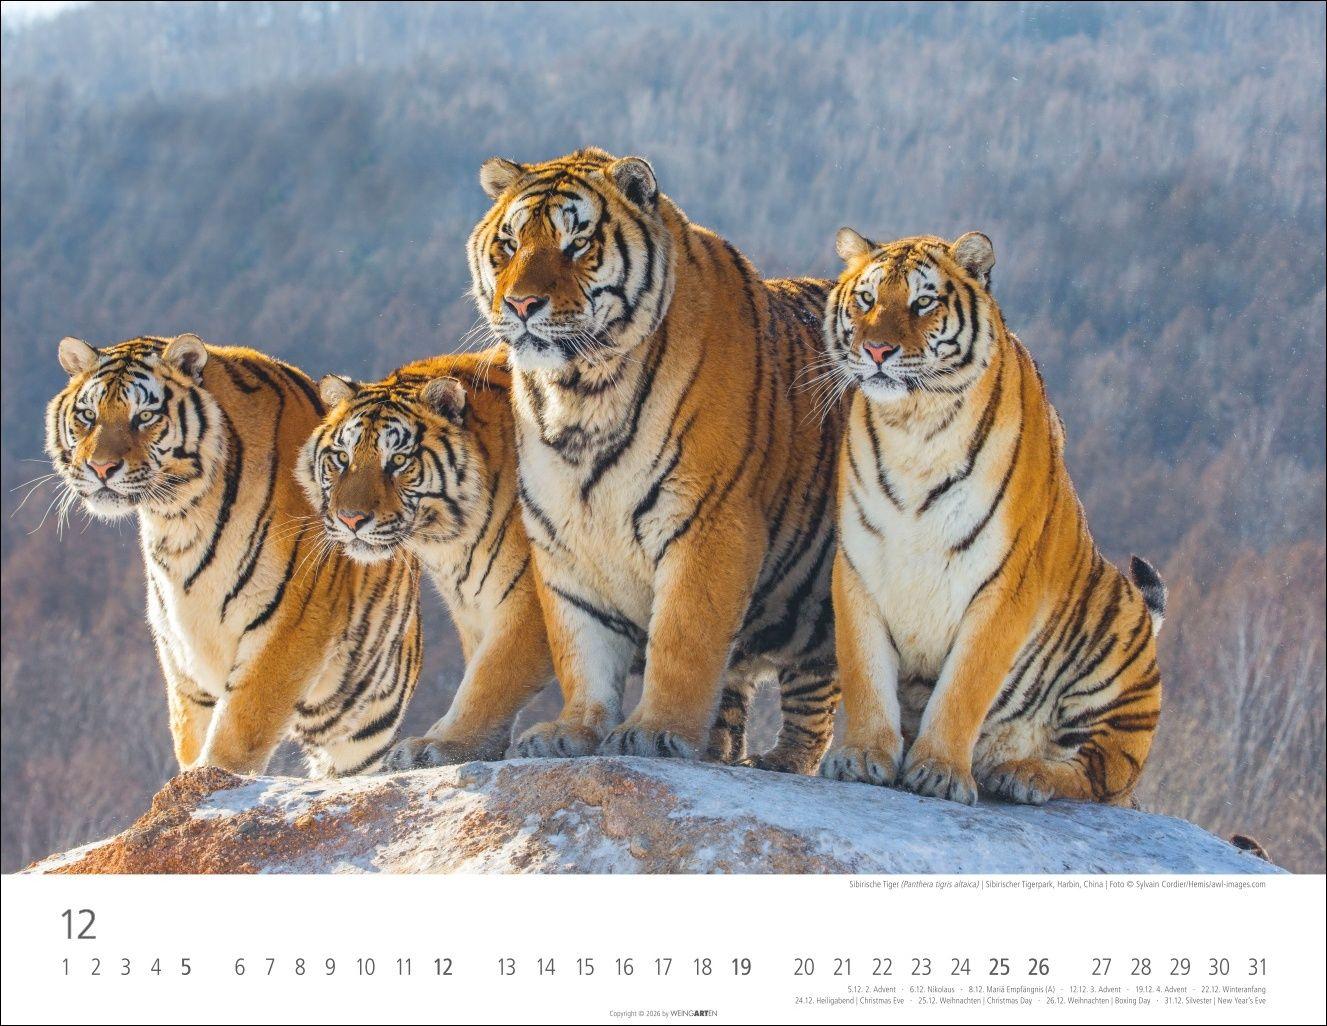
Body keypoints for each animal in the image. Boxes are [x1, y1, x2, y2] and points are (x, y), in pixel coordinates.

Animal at [45, 334, 422, 777]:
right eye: (88, 415)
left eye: (145, 416)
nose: (101, 468)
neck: (178, 518)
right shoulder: (181, 653)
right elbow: (191, 735)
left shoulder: (292, 623)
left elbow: (238, 732)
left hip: (363, 724)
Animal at [297, 346, 553, 768]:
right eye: (342, 458)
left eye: (398, 461)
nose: (350, 519)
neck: (449, 541)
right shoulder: (473, 605)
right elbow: (481, 671)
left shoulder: (529, 601)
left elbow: (490, 679)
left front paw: (442, 745)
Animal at [466, 147, 842, 773]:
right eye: (511, 243)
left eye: (577, 243)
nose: (520, 304)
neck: (580, 396)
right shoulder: (563, 539)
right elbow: (581, 646)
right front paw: (573, 730)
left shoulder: (709, 521)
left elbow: (683, 640)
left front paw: (655, 732)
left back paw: (783, 761)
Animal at [818, 229, 1165, 806]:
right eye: (867, 299)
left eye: (923, 302)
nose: (877, 350)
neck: (915, 427)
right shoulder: (860, 566)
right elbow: (866, 674)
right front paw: (863, 756)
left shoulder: (1005, 585)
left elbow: (963, 687)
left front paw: (938, 771)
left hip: (1116, 656)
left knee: (1094, 774)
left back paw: (1025, 774)